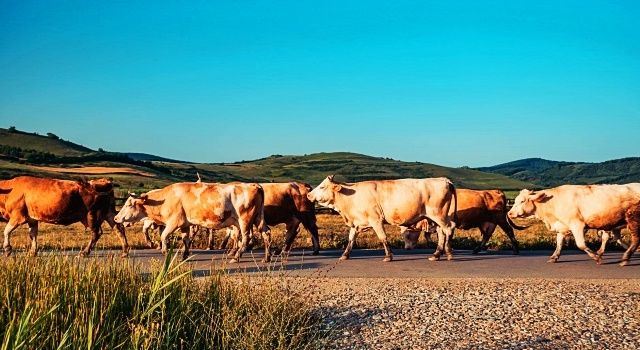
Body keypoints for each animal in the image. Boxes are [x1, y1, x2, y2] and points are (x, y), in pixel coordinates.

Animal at [0, 175, 129, 258]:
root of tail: (103, 181)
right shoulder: (32, 219)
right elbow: (33, 234)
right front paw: (33, 252)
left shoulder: (18, 216)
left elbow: (6, 231)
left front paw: (7, 249)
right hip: (108, 212)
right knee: (119, 228)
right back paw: (124, 251)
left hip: (92, 215)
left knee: (97, 233)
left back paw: (84, 252)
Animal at [112, 182, 268, 262]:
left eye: (129, 204)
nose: (115, 218)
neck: (166, 198)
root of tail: (254, 185)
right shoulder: (185, 225)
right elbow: (186, 240)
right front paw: (184, 255)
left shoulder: (173, 222)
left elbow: (163, 236)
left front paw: (165, 251)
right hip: (258, 218)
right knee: (266, 234)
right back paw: (267, 257)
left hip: (244, 220)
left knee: (246, 237)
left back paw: (236, 256)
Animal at [308, 176, 458, 262]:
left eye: (322, 186)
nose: (309, 195)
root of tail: (444, 180)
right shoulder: (356, 223)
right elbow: (350, 239)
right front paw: (345, 255)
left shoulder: (376, 220)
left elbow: (383, 238)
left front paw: (388, 256)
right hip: (437, 217)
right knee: (441, 232)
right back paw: (436, 254)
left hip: (438, 214)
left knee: (449, 228)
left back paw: (449, 252)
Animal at [504, 185, 640, 266]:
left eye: (522, 201)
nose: (509, 213)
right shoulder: (562, 227)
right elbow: (559, 244)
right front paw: (554, 257)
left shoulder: (577, 225)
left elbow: (581, 244)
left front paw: (596, 257)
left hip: (633, 220)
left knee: (635, 239)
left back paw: (626, 257)